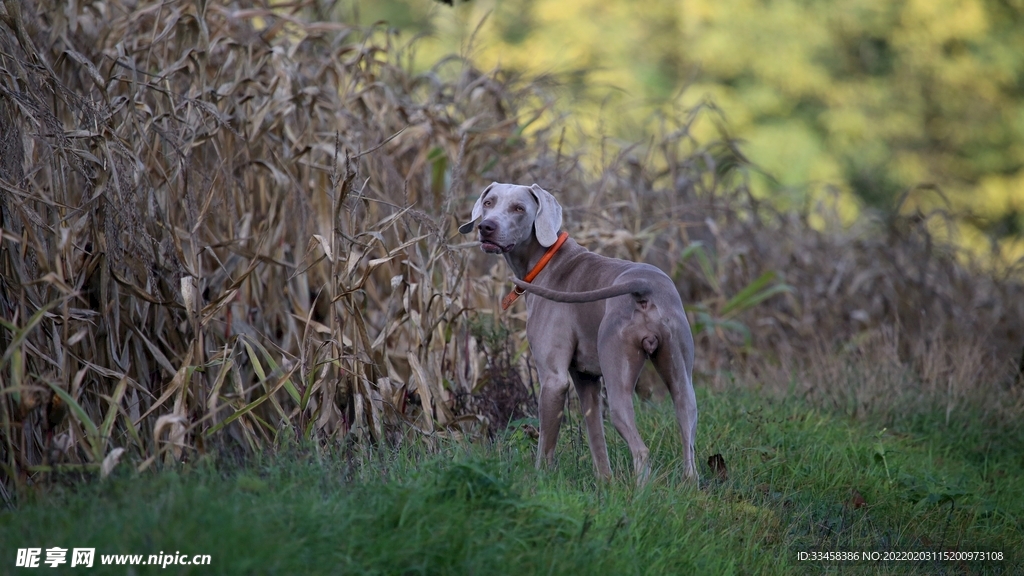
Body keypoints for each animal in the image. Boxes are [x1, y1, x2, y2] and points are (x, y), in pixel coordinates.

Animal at [460, 181, 700, 477]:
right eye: (489, 203)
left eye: (518, 208)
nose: (487, 227)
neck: (547, 260)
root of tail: (644, 287)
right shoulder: (586, 379)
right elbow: (597, 441)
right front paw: (606, 483)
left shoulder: (554, 380)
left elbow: (545, 447)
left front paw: (540, 480)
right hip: (681, 380)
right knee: (688, 436)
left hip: (617, 377)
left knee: (641, 450)